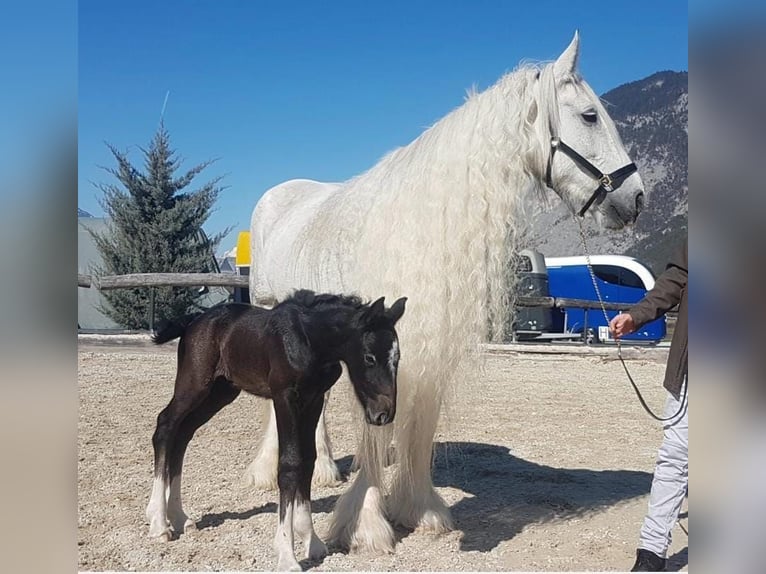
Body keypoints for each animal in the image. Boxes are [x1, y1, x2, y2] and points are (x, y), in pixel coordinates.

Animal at [144, 290, 407, 571]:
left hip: (220, 392)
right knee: (166, 426)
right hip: (194, 384)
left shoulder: (313, 399)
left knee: (183, 434)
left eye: (396, 358)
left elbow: (308, 460)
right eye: (369, 357)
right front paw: (287, 555)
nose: (384, 414)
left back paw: (179, 517)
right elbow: (289, 464)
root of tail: (194, 321)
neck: (310, 340)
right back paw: (159, 523)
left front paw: (312, 541)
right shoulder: (285, 398)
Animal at [244, 32, 646, 552]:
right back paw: (268, 470)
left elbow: (420, 421)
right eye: (590, 115)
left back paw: (328, 468)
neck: (421, 223)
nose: (636, 198)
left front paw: (420, 508)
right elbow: (375, 431)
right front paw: (367, 525)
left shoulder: (426, 342)